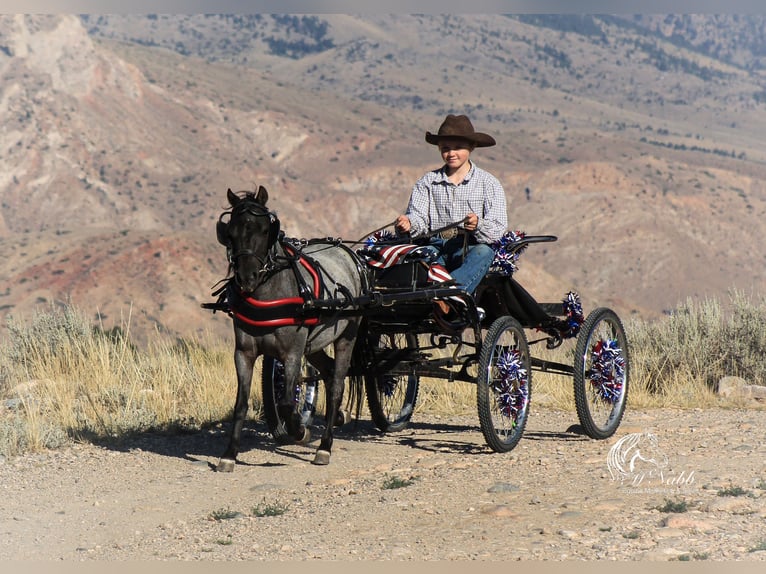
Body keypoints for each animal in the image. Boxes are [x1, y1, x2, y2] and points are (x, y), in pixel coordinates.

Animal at [210, 189, 366, 472]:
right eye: (231, 232)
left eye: (265, 230)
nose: (246, 278)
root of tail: (347, 252)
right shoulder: (244, 353)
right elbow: (241, 403)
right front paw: (229, 454)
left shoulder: (292, 353)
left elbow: (284, 403)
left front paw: (299, 431)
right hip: (314, 344)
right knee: (328, 371)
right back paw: (337, 418)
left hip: (347, 335)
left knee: (336, 386)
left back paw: (324, 447)